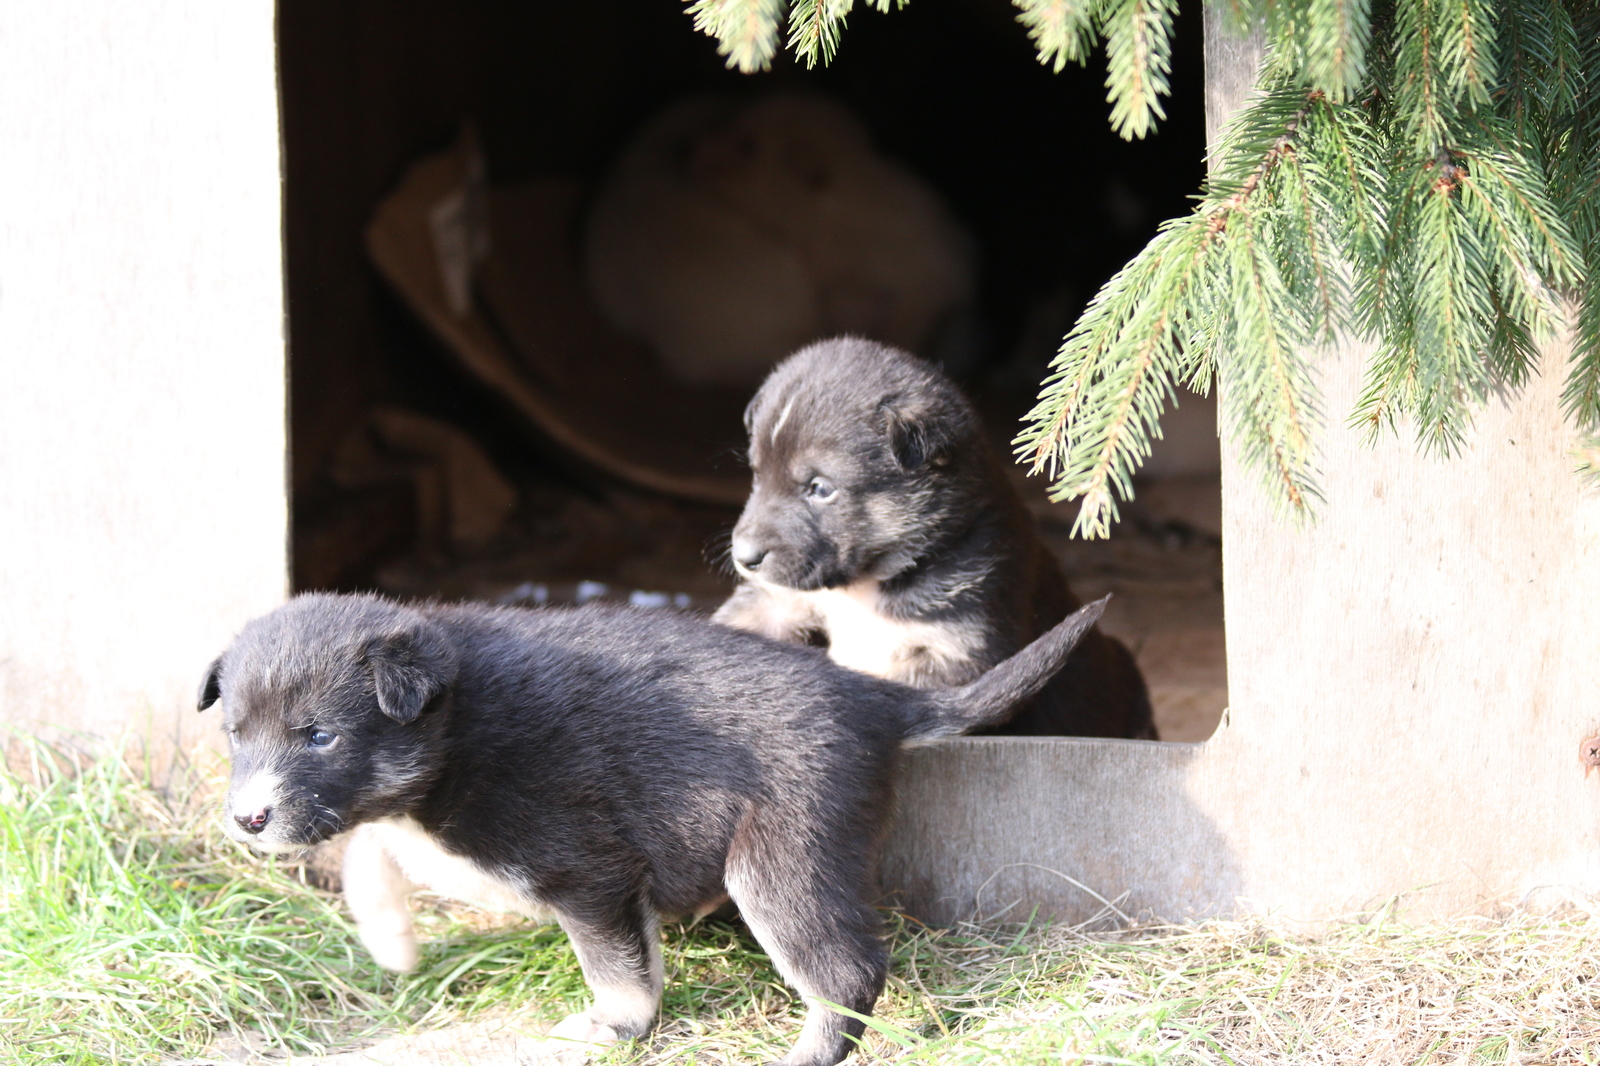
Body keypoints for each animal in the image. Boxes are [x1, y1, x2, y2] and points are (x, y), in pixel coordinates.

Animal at [200, 589, 1107, 1062]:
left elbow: (619, 971)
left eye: (320, 736)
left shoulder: (588, 870)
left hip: (783, 857)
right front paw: (393, 943)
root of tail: (871, 697)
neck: (456, 729)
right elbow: (366, 843)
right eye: (236, 734)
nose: (248, 819)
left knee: (846, 973)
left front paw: (613, 1029)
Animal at [720, 336, 1158, 736]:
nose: (743, 557)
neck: (864, 585)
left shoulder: (954, 651)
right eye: (757, 475)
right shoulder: (778, 603)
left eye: (821, 488)